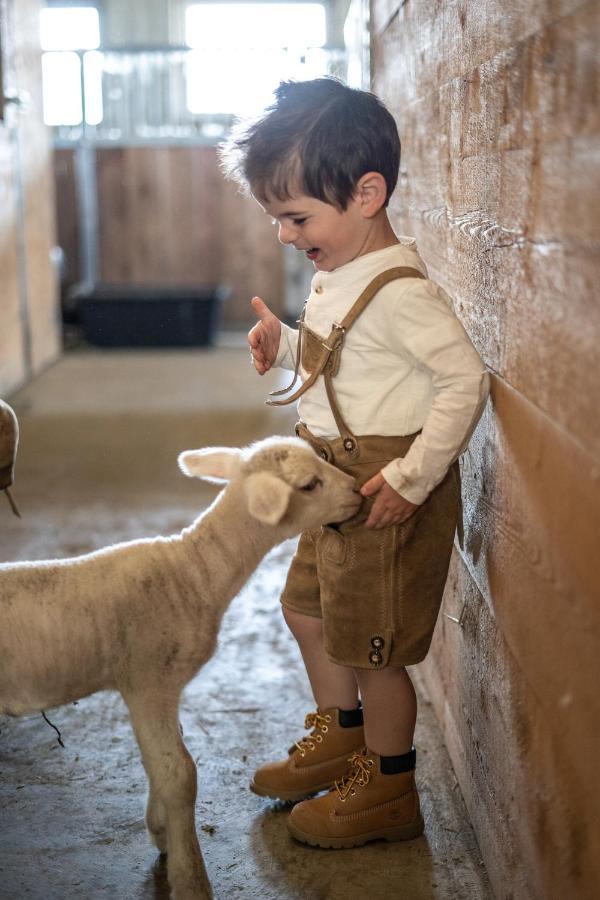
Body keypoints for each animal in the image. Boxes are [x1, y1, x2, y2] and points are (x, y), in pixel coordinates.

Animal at [0, 434, 360, 892]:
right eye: (311, 484)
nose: (357, 491)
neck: (193, 572)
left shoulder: (152, 690)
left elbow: (159, 762)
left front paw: (160, 831)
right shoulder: (148, 681)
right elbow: (179, 773)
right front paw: (190, 877)